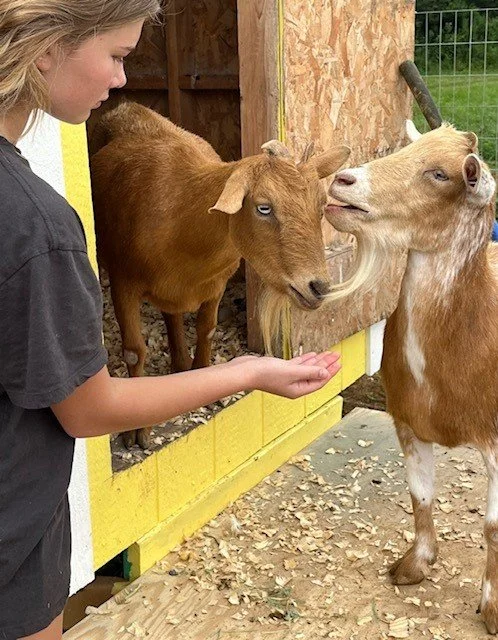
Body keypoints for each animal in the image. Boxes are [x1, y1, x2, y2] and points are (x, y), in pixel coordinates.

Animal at [91, 102, 350, 449]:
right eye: (263, 208)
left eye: (321, 206)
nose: (318, 286)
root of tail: (128, 107)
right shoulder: (123, 283)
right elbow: (134, 351)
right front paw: (136, 432)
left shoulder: (216, 285)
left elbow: (207, 330)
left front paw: (204, 383)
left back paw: (181, 365)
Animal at [326, 122, 498, 633]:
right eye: (407, 148)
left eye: (440, 174)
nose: (343, 180)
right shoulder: (406, 421)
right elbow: (420, 495)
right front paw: (414, 566)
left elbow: (491, 527)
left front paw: (491, 609)